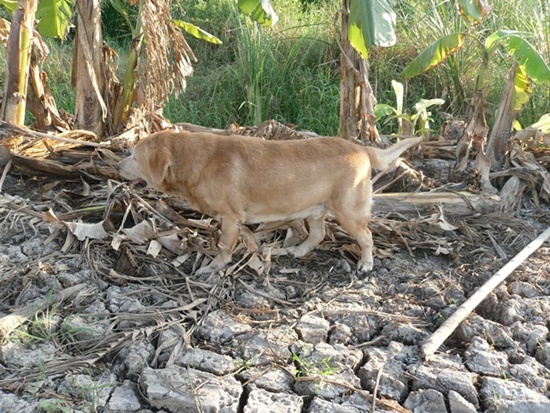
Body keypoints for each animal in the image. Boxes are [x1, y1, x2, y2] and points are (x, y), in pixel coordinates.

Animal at [119, 131, 422, 274]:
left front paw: (214, 267)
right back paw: (298, 250)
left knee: (367, 236)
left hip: (348, 211)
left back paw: (366, 263)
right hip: (316, 209)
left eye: (133, 155)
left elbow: (223, 247)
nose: (117, 166)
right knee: (319, 234)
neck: (193, 160)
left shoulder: (230, 218)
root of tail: (362, 147)